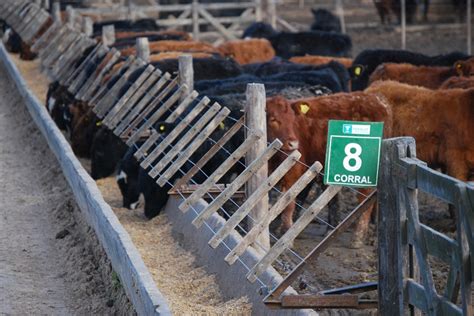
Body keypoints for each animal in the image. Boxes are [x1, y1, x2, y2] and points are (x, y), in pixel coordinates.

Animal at [266, 92, 392, 244]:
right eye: (273, 119)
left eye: (292, 119)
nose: (293, 143)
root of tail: (377, 100)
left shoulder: (293, 172)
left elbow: (289, 201)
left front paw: (285, 233)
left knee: (365, 195)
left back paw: (358, 237)